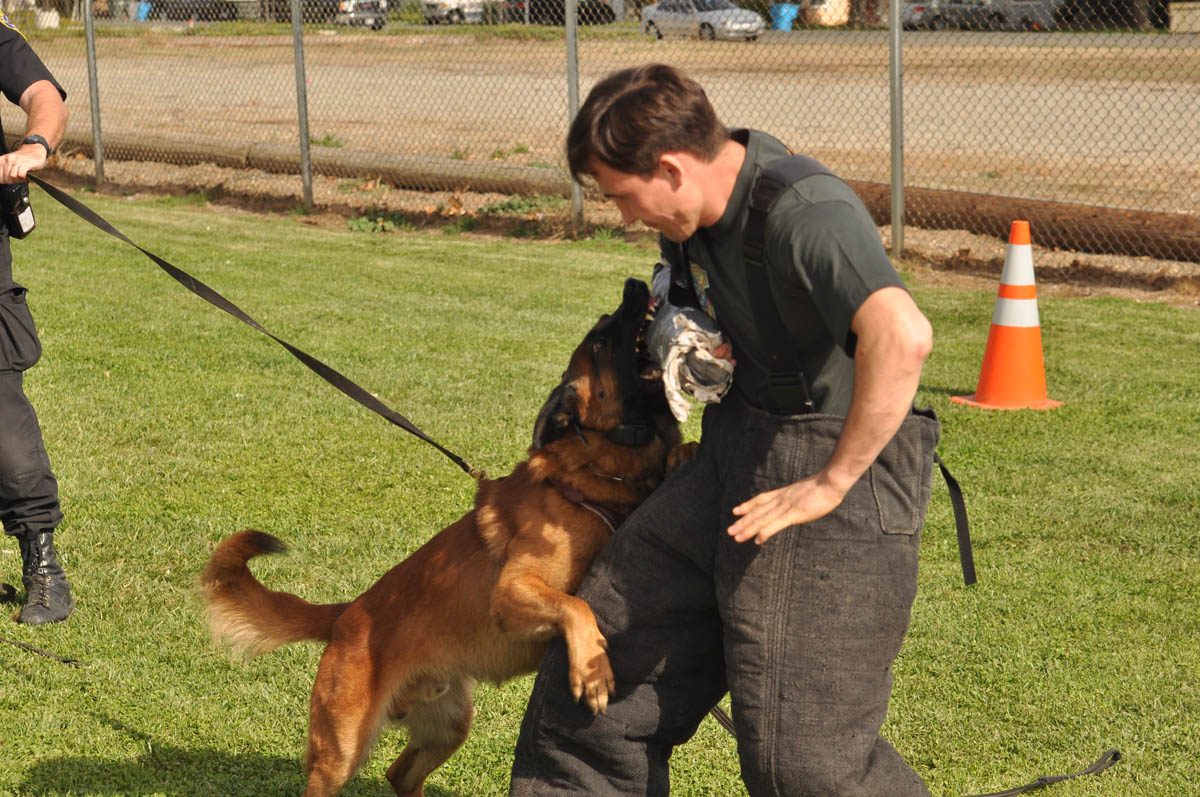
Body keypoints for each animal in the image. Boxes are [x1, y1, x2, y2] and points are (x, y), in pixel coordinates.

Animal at [200, 276, 691, 797]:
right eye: (599, 342)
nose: (635, 284)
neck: (592, 473)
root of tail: (347, 613)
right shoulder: (512, 592)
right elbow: (577, 606)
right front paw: (592, 670)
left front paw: (685, 454)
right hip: (340, 749)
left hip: (450, 724)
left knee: (400, 773)